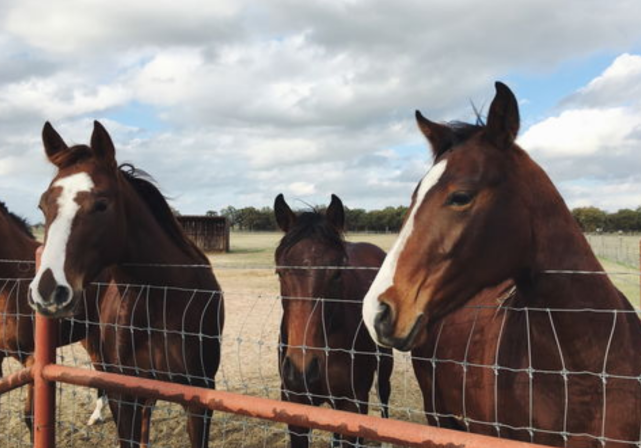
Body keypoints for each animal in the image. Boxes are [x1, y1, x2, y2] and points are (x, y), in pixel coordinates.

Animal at [29, 120, 225, 448]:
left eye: (101, 204)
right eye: (42, 205)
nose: (48, 291)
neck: (166, 299)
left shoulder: (198, 399)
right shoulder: (125, 395)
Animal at [276, 194, 396, 448]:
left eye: (337, 273)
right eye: (280, 273)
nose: (302, 369)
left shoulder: (353, 405)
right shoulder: (296, 404)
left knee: (384, 395)